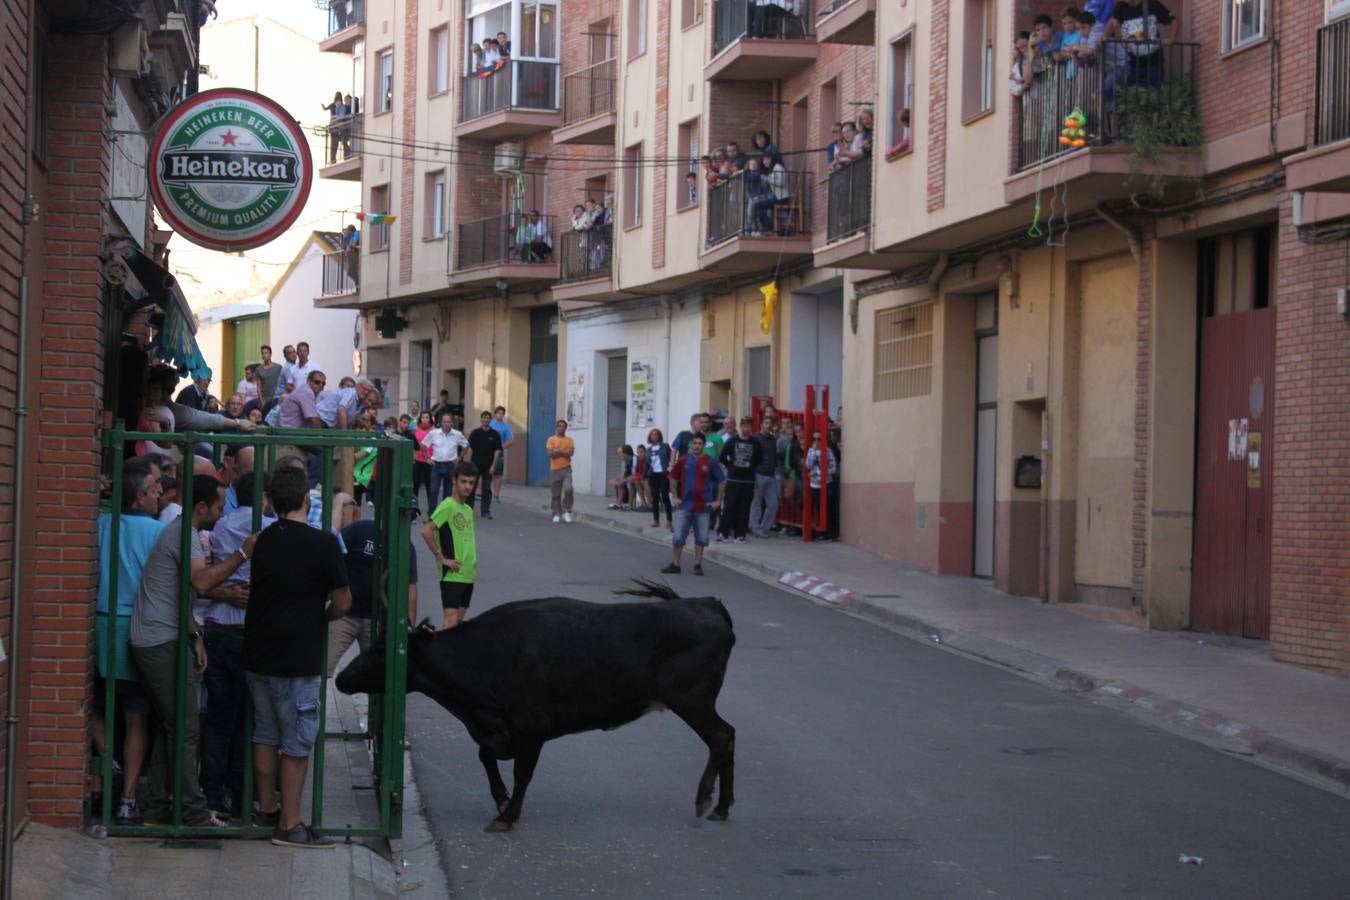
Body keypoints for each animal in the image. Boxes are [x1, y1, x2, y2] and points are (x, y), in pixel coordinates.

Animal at [337, 580, 739, 836]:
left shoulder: (533, 728)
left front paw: (507, 815)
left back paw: (705, 800)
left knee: (721, 736)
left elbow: (522, 774)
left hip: (692, 699)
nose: (341, 678)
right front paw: (500, 802)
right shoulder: (499, 730)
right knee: (729, 736)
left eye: (381, 650)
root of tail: (708, 603)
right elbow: (485, 756)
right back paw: (722, 807)